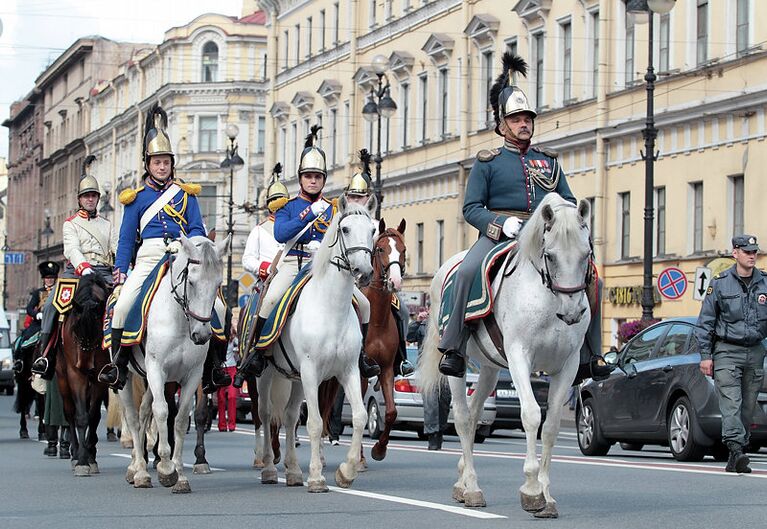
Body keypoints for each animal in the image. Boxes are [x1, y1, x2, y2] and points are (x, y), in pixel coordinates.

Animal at [119, 233, 228, 492]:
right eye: (192, 282)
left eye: (218, 285)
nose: (202, 335)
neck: (180, 322)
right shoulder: (156, 369)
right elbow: (162, 411)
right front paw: (166, 468)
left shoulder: (192, 375)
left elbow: (180, 418)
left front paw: (180, 474)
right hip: (127, 377)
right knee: (133, 417)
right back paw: (139, 471)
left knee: (143, 412)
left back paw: (140, 464)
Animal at [260, 194, 376, 490]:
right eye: (345, 229)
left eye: (373, 230)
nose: (364, 271)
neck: (331, 309)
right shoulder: (311, 371)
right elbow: (313, 423)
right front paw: (316, 476)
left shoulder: (349, 370)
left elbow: (359, 417)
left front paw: (346, 471)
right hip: (266, 375)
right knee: (266, 414)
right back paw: (268, 468)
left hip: (295, 378)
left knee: (289, 417)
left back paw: (292, 471)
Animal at [420, 193, 592, 516]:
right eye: (550, 255)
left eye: (586, 253)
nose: (573, 312)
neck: (548, 301)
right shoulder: (519, 357)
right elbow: (532, 415)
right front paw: (532, 490)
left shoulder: (568, 366)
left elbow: (550, 426)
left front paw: (547, 496)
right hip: (458, 363)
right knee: (462, 417)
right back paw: (472, 488)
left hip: (489, 368)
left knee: (475, 414)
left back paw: (463, 483)